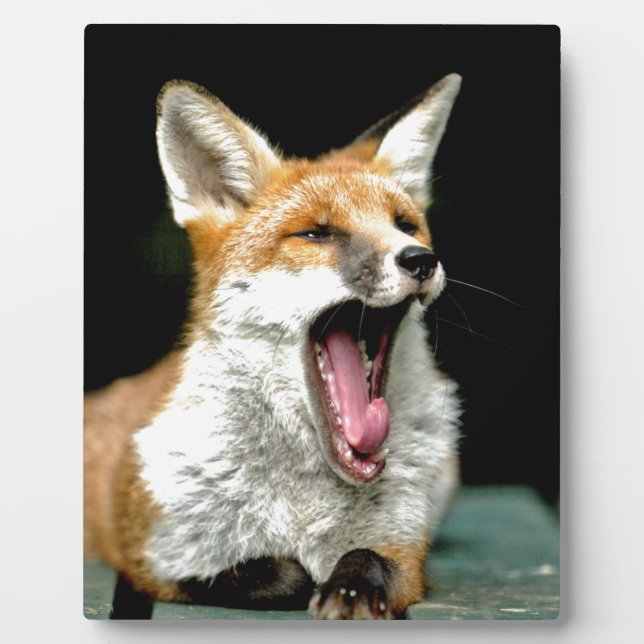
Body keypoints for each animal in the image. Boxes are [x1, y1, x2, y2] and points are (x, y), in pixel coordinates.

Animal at [84, 73, 463, 620]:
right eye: (316, 234)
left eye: (405, 225)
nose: (420, 259)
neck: (302, 503)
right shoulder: (154, 561)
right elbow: (277, 573)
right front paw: (304, 579)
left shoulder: (403, 551)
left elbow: (368, 558)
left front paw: (351, 588)